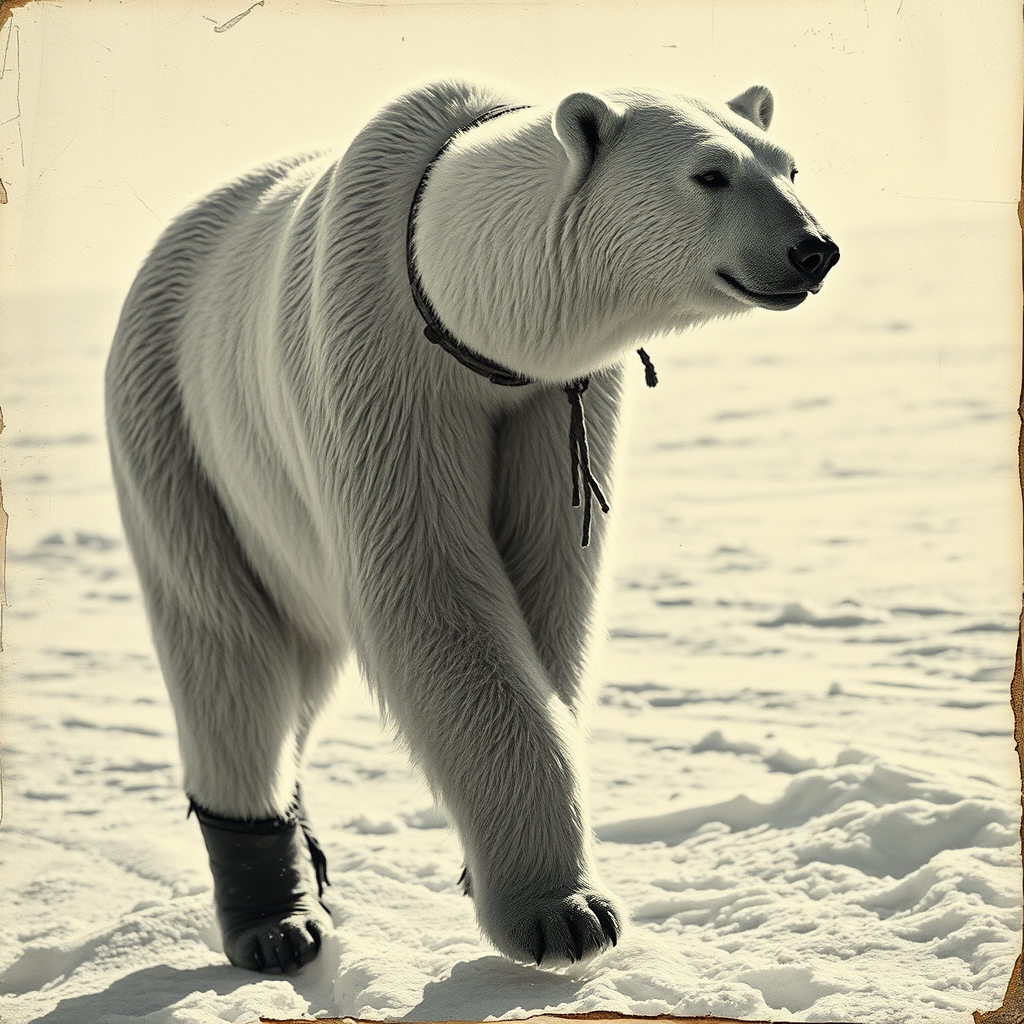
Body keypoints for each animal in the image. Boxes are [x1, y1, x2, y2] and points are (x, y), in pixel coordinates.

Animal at [105, 79, 839, 974]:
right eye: (710, 174)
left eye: (789, 166)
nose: (814, 250)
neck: (459, 294)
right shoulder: (376, 367)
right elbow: (430, 591)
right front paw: (565, 915)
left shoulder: (555, 402)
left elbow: (551, 585)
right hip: (177, 434)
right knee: (230, 651)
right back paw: (275, 919)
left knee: (296, 664)